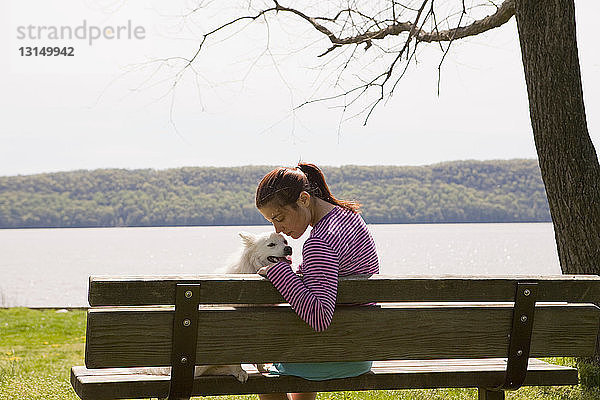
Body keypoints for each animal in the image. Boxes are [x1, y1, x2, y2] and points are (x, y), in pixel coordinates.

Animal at [149, 231, 292, 384]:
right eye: (271, 244)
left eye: (285, 241)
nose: (289, 248)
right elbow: (234, 358)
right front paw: (239, 371)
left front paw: (261, 368)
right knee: (202, 373)